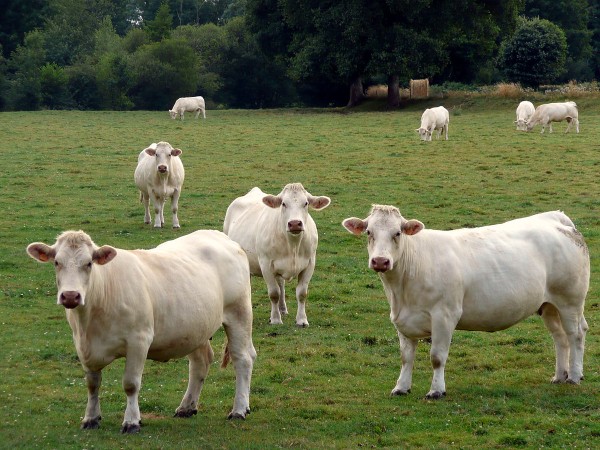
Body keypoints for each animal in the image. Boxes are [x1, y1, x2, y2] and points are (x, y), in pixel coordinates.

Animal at [26, 230, 255, 434]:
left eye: (89, 263)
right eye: (57, 262)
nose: (71, 296)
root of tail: (221, 236)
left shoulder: (139, 340)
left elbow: (131, 384)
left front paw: (131, 421)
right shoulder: (82, 345)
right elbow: (92, 384)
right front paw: (90, 418)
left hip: (239, 313)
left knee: (242, 359)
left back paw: (239, 410)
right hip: (195, 328)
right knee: (201, 362)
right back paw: (186, 407)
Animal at [223, 183, 330, 326]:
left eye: (306, 203)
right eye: (283, 203)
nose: (295, 223)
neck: (293, 245)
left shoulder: (310, 263)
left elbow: (302, 293)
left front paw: (302, 320)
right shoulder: (266, 264)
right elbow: (274, 293)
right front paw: (275, 319)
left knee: (281, 283)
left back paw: (283, 309)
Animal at [344, 206, 588, 400]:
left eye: (397, 233)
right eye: (369, 232)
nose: (380, 261)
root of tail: (556, 218)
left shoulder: (445, 315)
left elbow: (437, 357)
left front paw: (436, 390)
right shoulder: (402, 320)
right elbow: (406, 358)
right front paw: (401, 387)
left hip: (570, 300)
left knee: (575, 334)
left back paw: (574, 376)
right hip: (549, 305)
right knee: (560, 337)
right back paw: (560, 375)